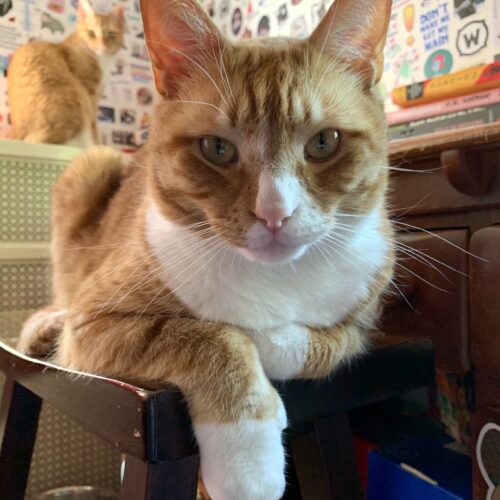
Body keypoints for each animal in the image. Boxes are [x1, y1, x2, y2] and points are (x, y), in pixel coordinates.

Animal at [6, 0, 125, 147]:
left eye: (111, 34)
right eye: (91, 33)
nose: (102, 46)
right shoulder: (90, 95)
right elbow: (94, 127)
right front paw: (98, 145)